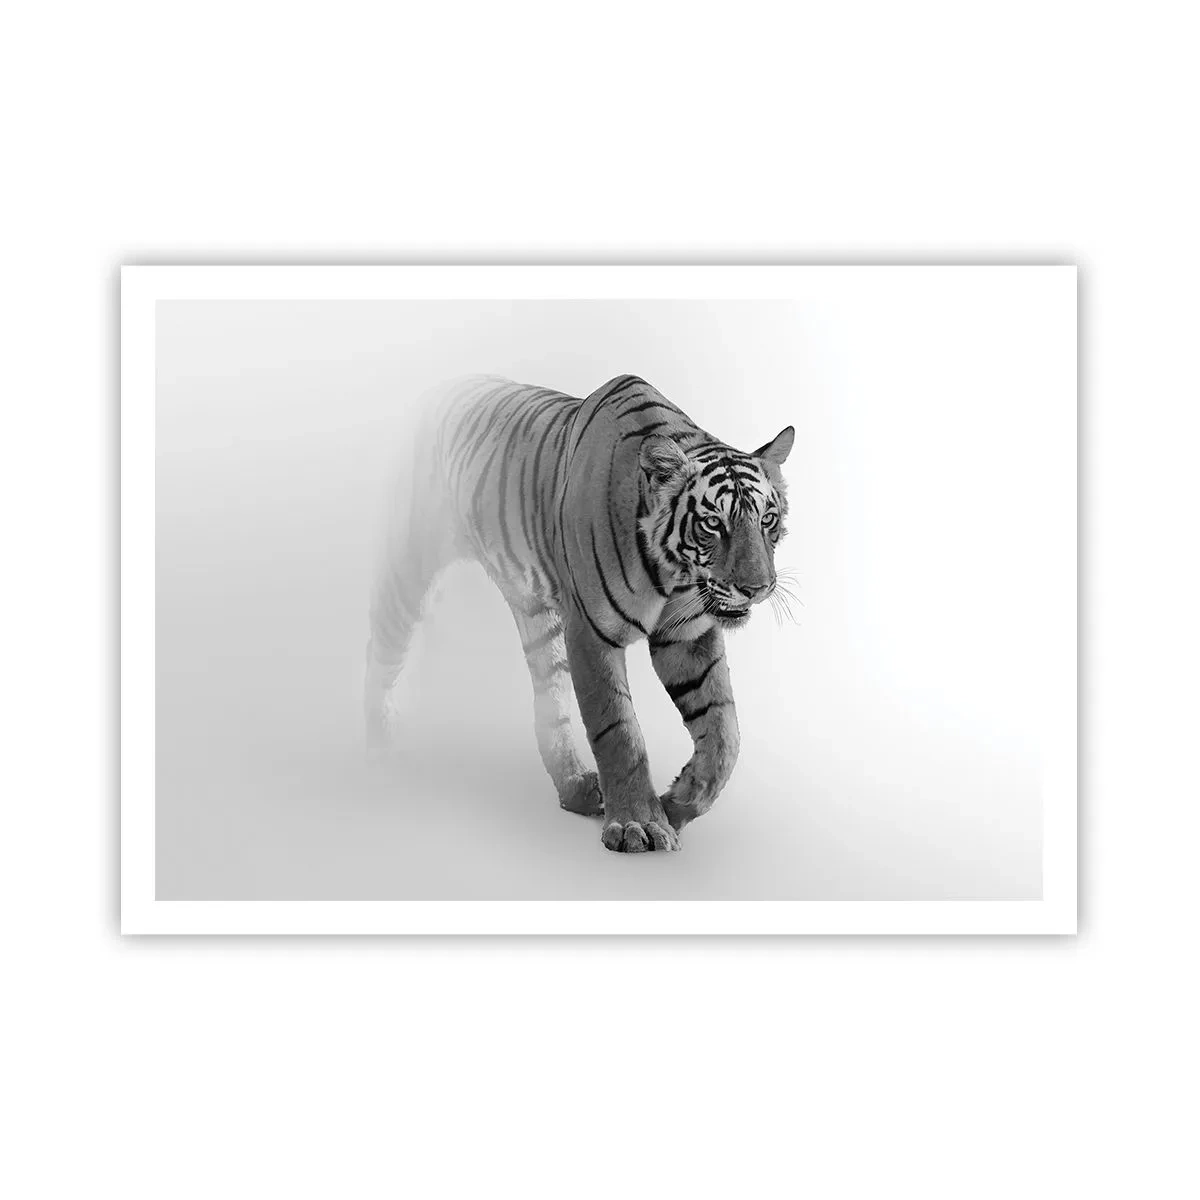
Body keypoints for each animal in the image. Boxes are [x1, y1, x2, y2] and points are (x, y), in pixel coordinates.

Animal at [365, 373, 794, 853]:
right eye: (713, 523)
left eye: (767, 519)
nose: (756, 588)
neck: (673, 574)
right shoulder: (591, 632)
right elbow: (619, 731)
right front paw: (639, 824)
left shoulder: (686, 635)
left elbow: (724, 732)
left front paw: (678, 804)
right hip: (410, 562)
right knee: (381, 647)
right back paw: (376, 746)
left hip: (538, 618)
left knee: (549, 703)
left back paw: (575, 788)